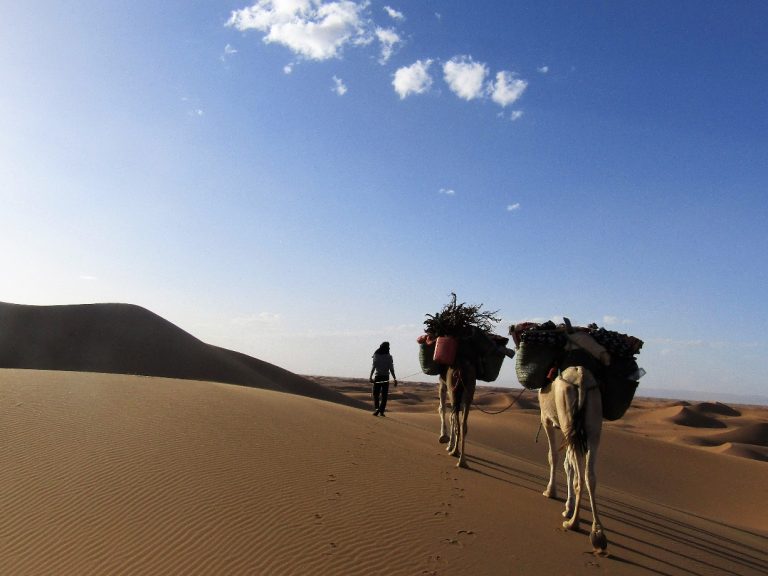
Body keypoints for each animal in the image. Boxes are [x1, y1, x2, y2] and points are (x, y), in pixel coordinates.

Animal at [539, 362, 608, 553]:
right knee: (590, 475)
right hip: (593, 422)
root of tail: (582, 378)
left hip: (567, 415)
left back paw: (573, 523)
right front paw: (567, 507)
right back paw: (597, 532)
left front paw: (550, 491)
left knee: (580, 477)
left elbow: (553, 456)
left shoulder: (546, 419)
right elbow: (567, 465)